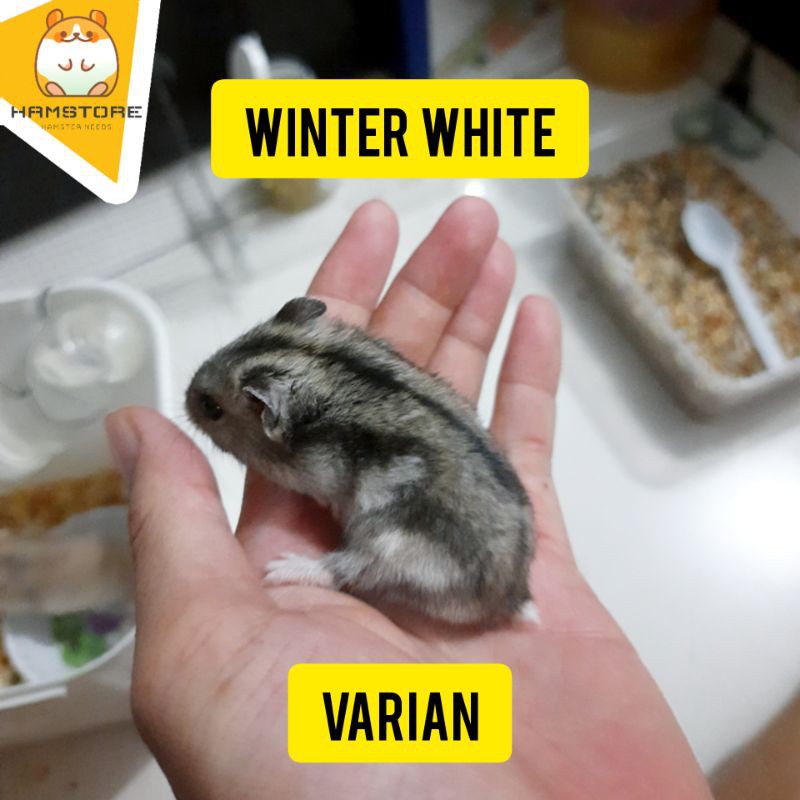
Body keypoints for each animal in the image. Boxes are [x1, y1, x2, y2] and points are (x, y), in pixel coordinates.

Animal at [186, 297, 536, 627]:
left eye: (211, 407)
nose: (184, 398)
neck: (318, 369)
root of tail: (514, 596)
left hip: (394, 550)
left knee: (346, 571)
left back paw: (280, 568)